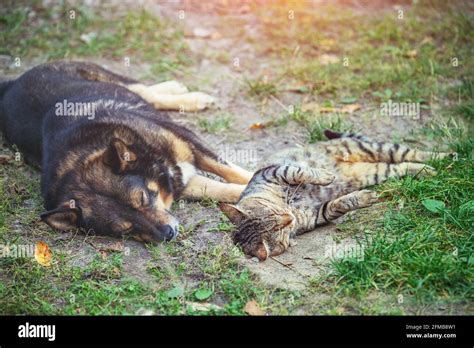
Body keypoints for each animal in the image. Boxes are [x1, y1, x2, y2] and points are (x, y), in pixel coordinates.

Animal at [0, 60, 254, 242]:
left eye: (142, 198)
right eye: (124, 229)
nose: (168, 234)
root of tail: (11, 85)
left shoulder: (190, 143)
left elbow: (232, 171)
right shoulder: (182, 183)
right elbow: (225, 190)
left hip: (102, 76)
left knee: (144, 90)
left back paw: (187, 94)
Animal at [218, 130, 448, 260]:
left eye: (273, 214)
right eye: (279, 230)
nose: (289, 218)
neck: (292, 209)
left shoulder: (274, 172)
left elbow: (301, 171)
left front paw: (326, 176)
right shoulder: (316, 215)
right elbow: (337, 205)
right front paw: (362, 198)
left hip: (372, 148)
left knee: (413, 152)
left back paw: (446, 155)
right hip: (378, 170)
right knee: (403, 165)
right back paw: (428, 169)